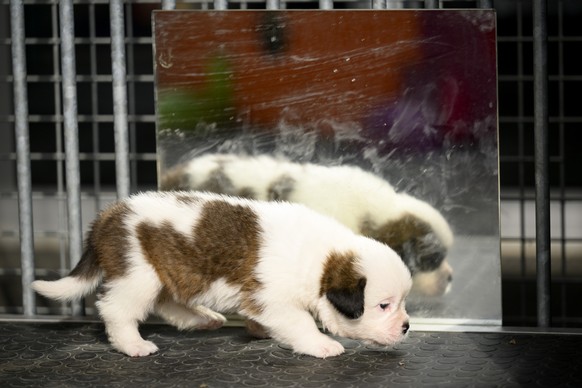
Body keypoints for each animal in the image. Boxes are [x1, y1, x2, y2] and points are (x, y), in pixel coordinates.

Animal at [30, 191, 410, 358]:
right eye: (383, 306)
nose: (407, 327)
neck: (321, 262)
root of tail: (107, 215)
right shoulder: (274, 299)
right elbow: (300, 322)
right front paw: (320, 344)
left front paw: (260, 331)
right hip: (138, 272)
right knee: (118, 310)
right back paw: (133, 344)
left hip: (168, 270)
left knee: (167, 302)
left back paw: (201, 319)